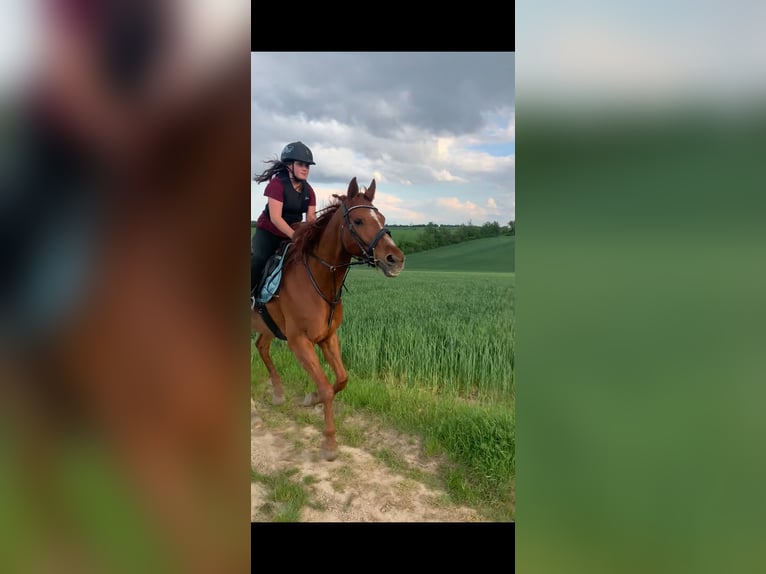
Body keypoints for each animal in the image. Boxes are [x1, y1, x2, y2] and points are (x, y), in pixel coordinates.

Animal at [251, 176, 405, 461]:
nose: (395, 259)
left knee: (262, 348)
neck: (317, 279)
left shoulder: (328, 338)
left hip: (266, 326)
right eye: (358, 221)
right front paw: (329, 443)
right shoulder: (299, 342)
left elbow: (341, 380)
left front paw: (310, 399)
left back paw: (277, 394)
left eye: (382, 217)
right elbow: (325, 386)